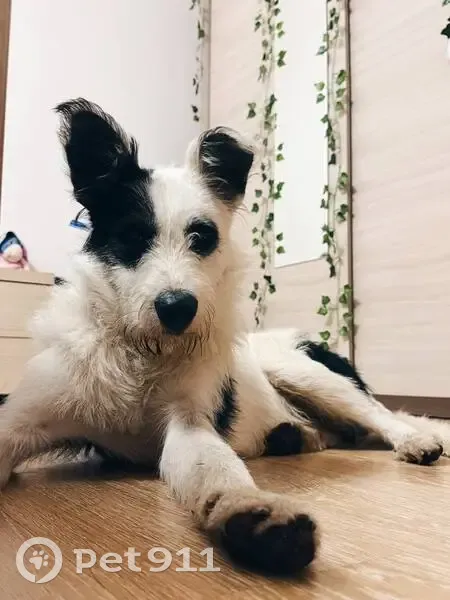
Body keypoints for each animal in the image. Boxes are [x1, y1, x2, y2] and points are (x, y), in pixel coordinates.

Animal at [0, 99, 449, 575]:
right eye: (133, 237)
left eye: (202, 237)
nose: (177, 308)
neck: (137, 350)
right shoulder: (24, 418)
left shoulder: (188, 423)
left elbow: (214, 468)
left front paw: (248, 509)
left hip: (298, 370)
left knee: (380, 414)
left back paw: (415, 439)